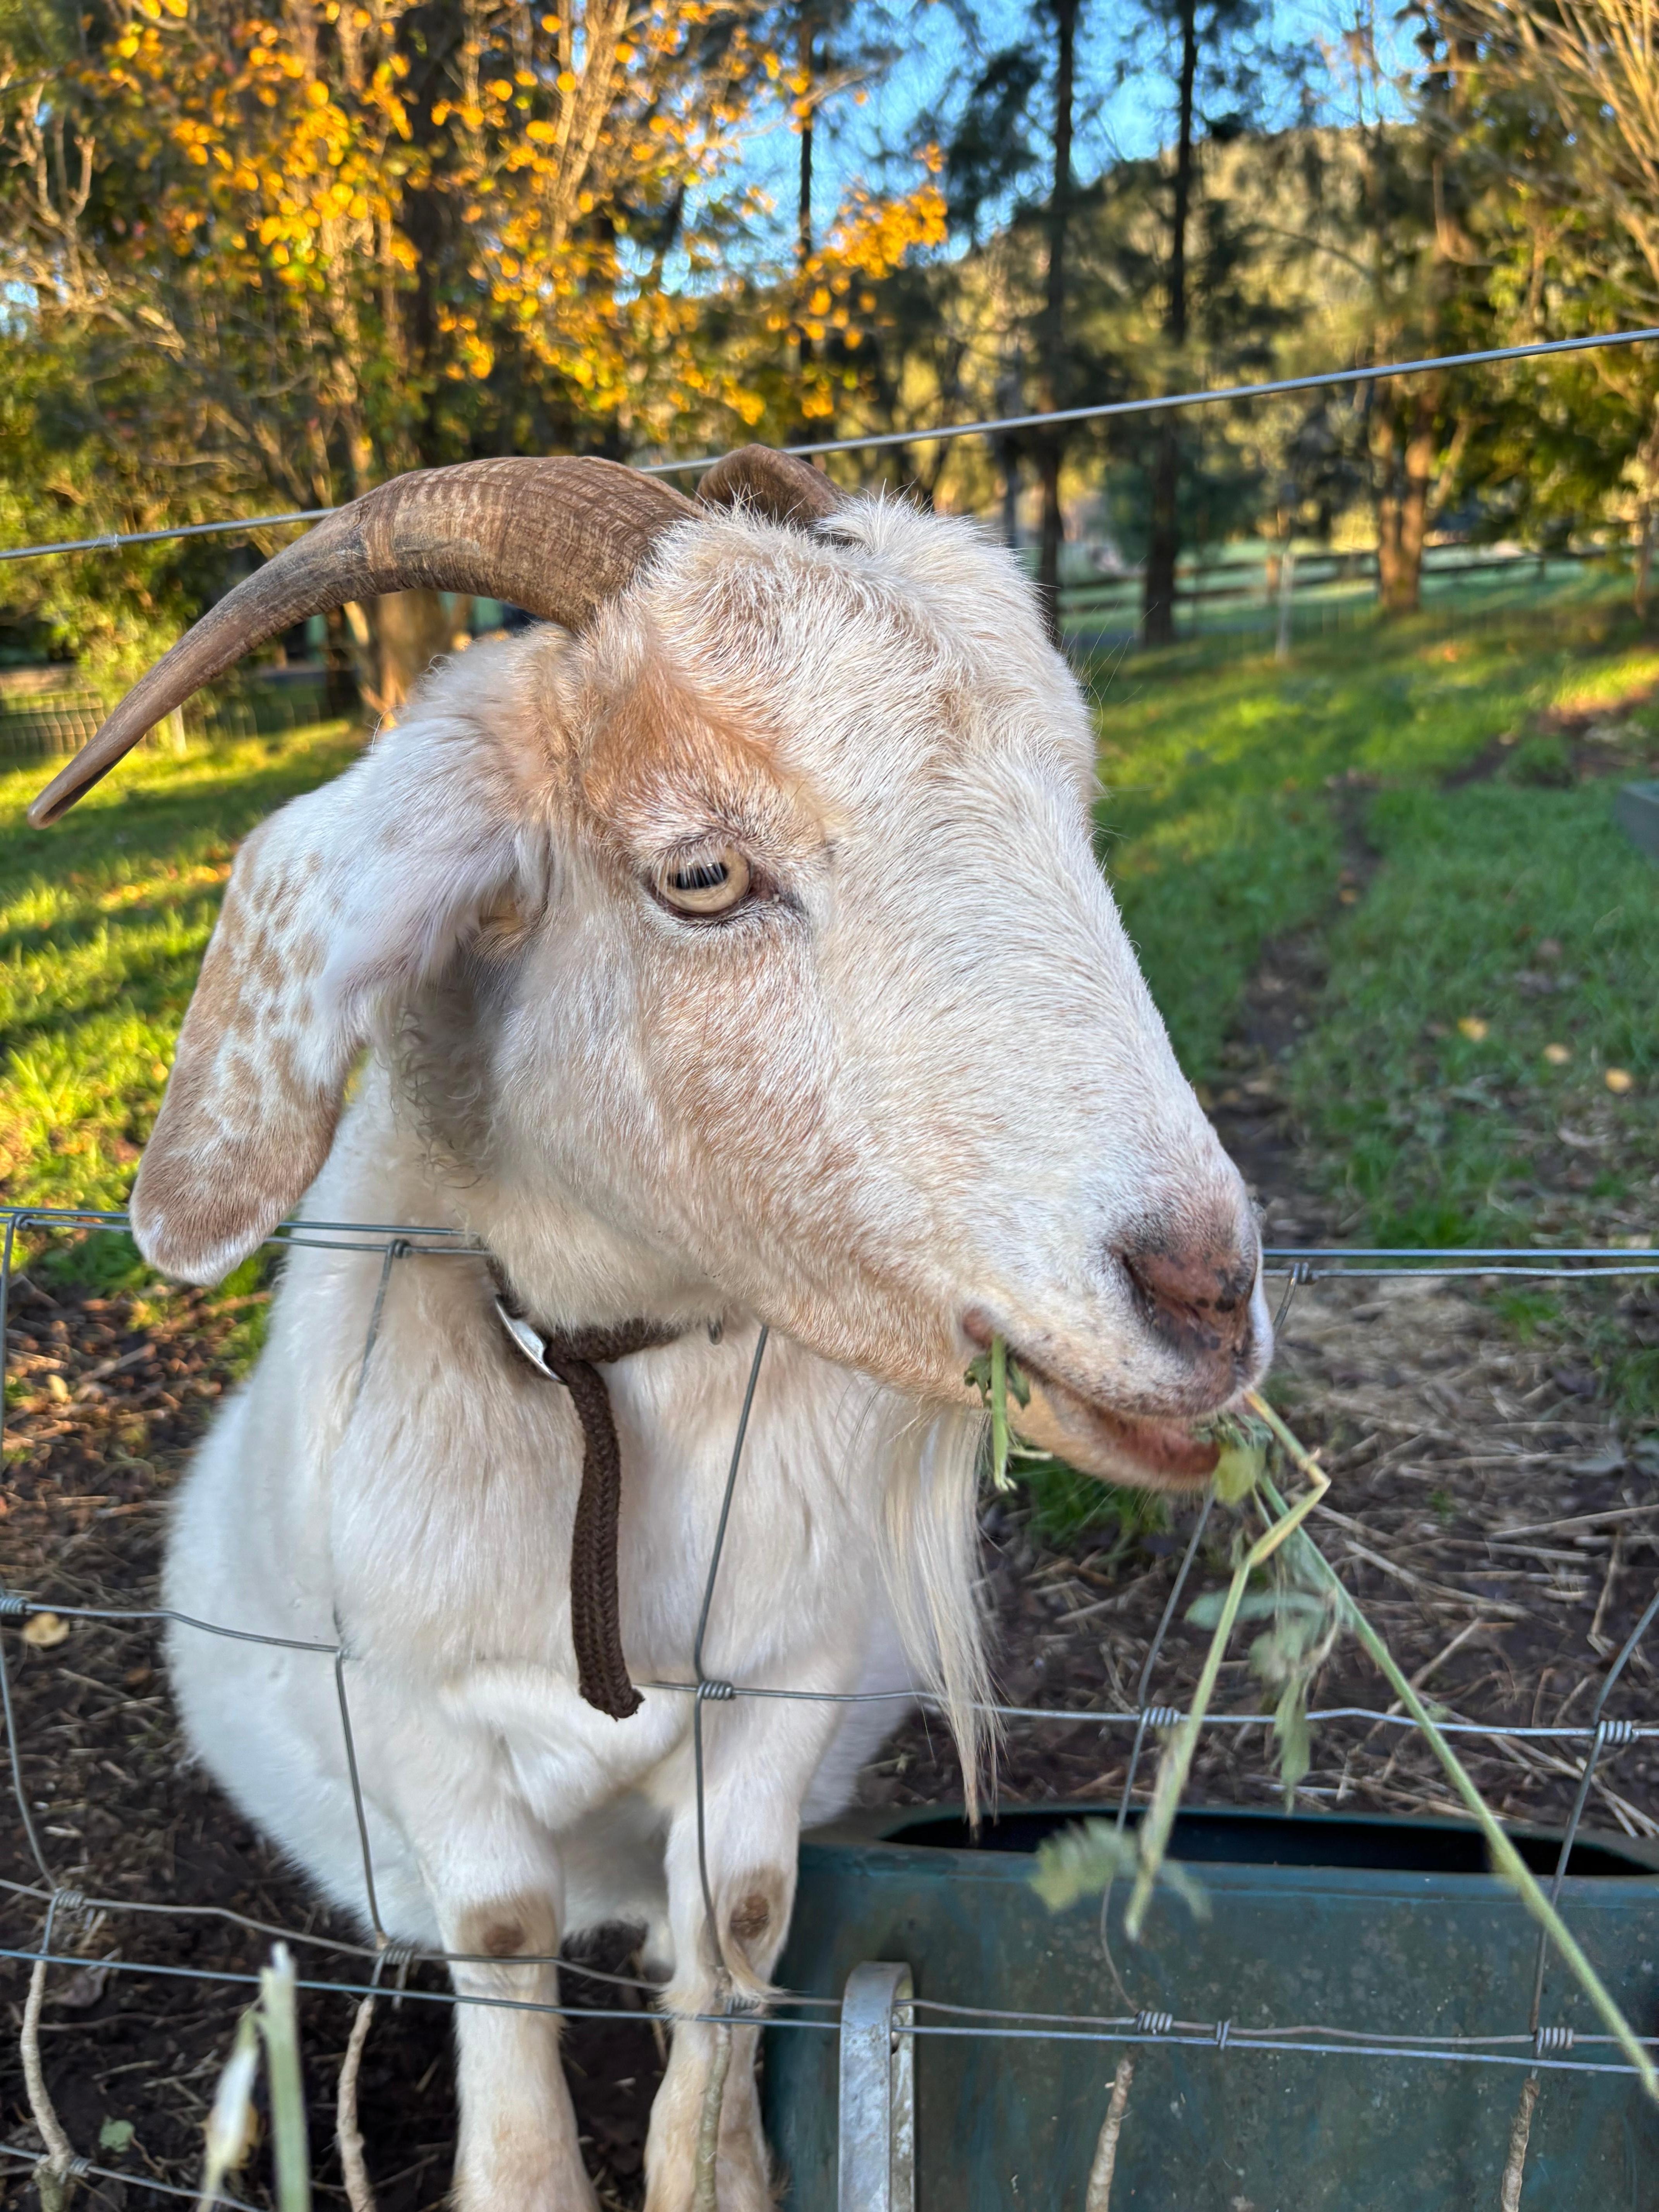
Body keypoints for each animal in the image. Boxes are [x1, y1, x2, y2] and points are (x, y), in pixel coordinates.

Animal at [32, 447, 1271, 2211]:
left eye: (1073, 815)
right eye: (701, 874)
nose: (1204, 1291)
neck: (607, 1404)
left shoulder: (787, 1688)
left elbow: (738, 1923)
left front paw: (720, 2166)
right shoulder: (415, 1707)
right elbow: (500, 1934)